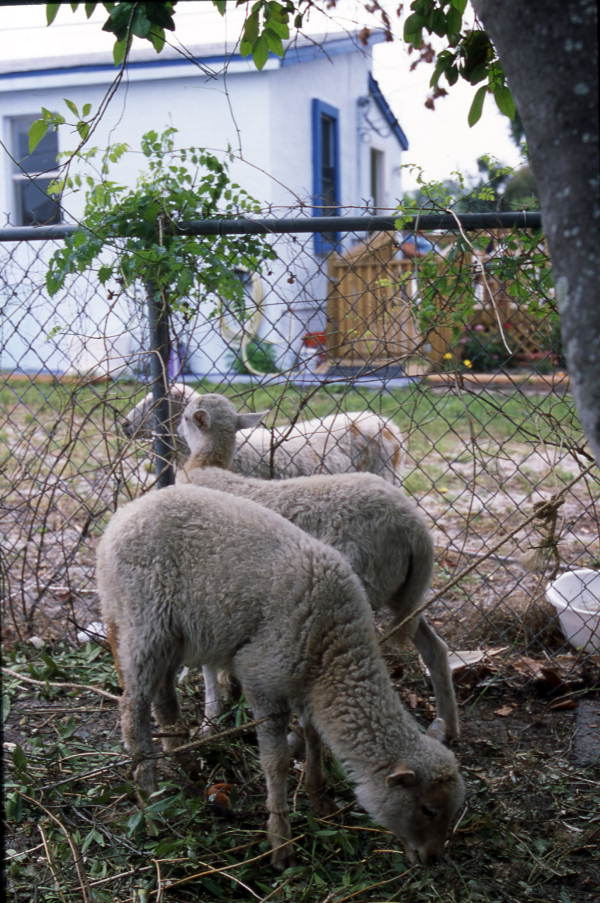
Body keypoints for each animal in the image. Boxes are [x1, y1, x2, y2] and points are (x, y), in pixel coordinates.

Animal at [97, 483, 465, 867]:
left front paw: (319, 798)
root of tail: (124, 515)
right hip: (144, 623)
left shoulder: (305, 684)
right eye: (428, 810)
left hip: (173, 635)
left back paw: (184, 765)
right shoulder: (261, 679)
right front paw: (281, 841)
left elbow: (313, 735)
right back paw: (149, 801)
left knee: (164, 699)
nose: (433, 859)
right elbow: (276, 762)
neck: (332, 648)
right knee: (133, 709)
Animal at [177, 393, 459, 743]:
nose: (176, 427)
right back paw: (448, 726)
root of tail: (415, 529)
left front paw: (210, 719)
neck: (205, 466)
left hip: (361, 583)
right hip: (403, 592)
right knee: (434, 648)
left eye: (186, 416)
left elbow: (206, 664)